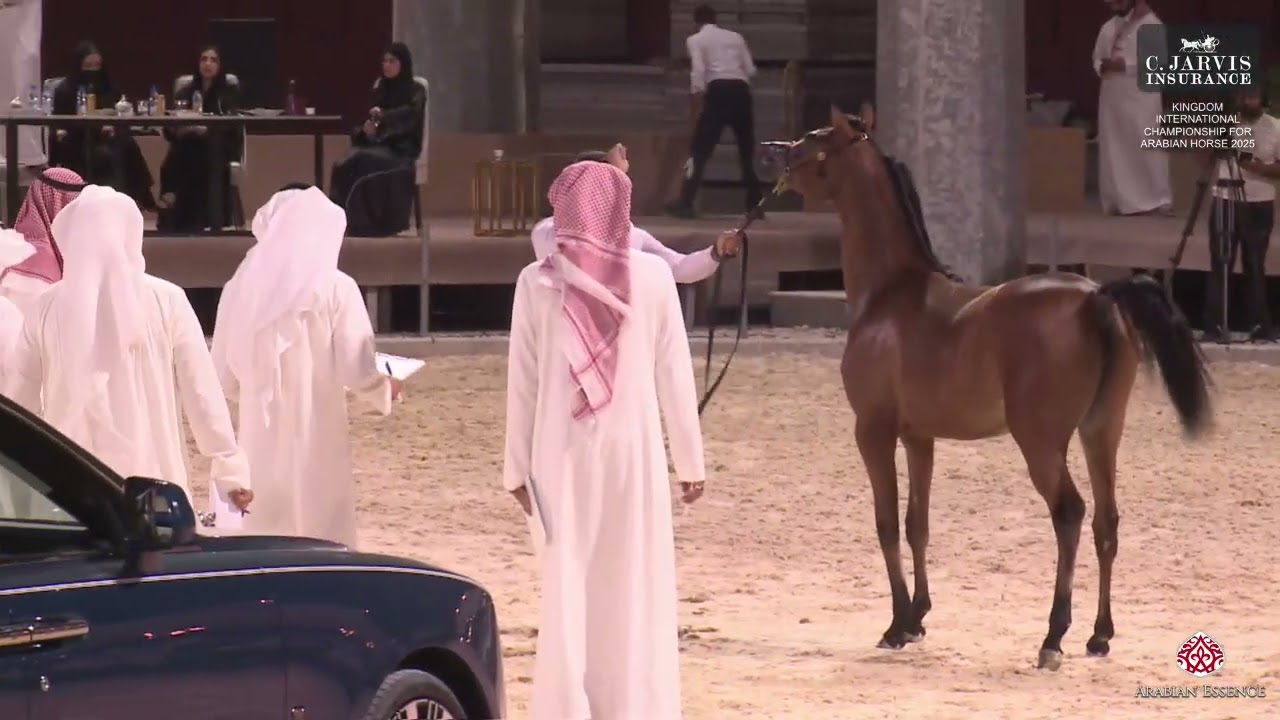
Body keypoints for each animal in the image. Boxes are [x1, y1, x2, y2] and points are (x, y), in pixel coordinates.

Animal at [772, 106, 1212, 670]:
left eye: (814, 140)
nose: (774, 153)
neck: (890, 296)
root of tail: (1094, 295)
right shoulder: (919, 436)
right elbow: (918, 523)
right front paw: (918, 618)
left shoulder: (873, 431)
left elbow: (887, 523)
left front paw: (895, 625)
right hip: (1100, 432)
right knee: (1106, 522)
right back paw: (1099, 636)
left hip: (1041, 442)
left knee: (1069, 514)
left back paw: (1053, 637)